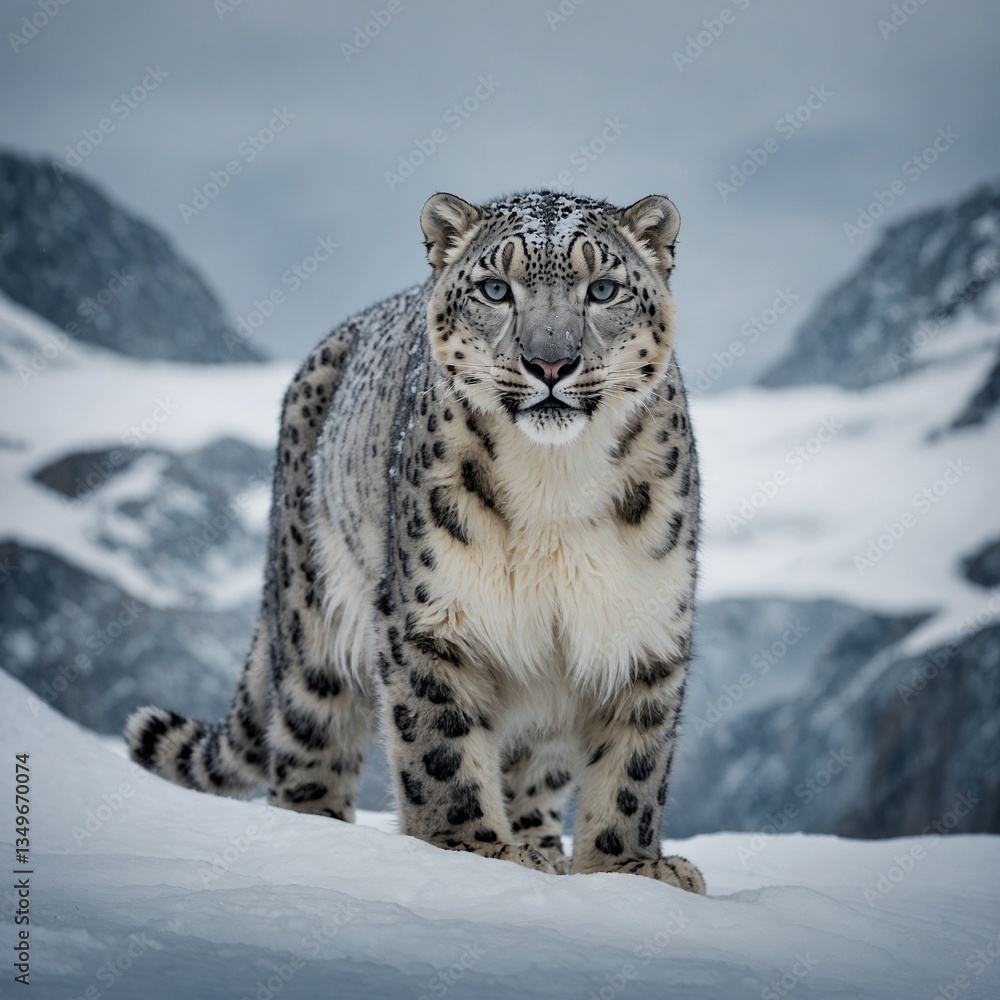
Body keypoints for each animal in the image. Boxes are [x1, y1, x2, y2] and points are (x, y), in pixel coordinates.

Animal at [125, 190, 705, 893]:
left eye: (602, 288)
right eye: (494, 288)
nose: (550, 362)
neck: (556, 483)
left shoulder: (643, 627)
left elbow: (633, 769)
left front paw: (630, 869)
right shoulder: (429, 616)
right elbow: (441, 747)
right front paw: (474, 851)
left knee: (534, 769)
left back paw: (544, 849)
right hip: (314, 628)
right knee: (309, 751)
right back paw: (321, 838)